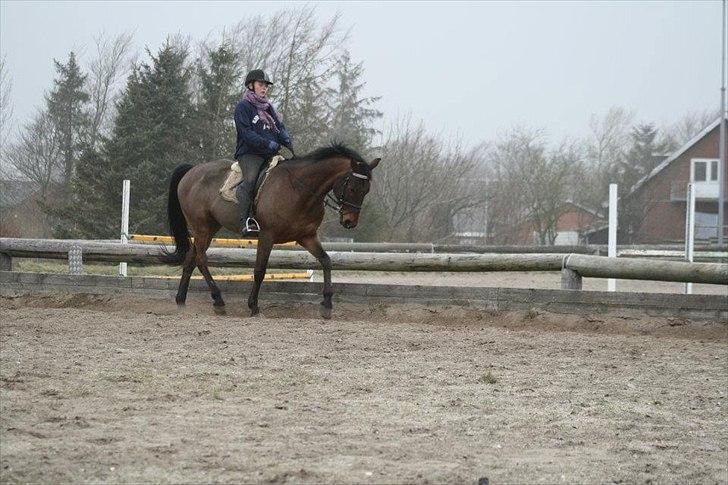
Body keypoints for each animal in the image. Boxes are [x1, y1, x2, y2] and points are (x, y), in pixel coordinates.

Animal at [160, 143, 381, 318]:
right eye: (352, 187)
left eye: (366, 190)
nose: (349, 222)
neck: (299, 189)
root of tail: (192, 170)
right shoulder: (267, 235)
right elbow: (260, 270)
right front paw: (253, 306)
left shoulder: (307, 236)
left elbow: (326, 261)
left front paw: (326, 304)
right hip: (202, 227)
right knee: (200, 260)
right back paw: (218, 300)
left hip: (209, 228)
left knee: (191, 260)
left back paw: (181, 301)